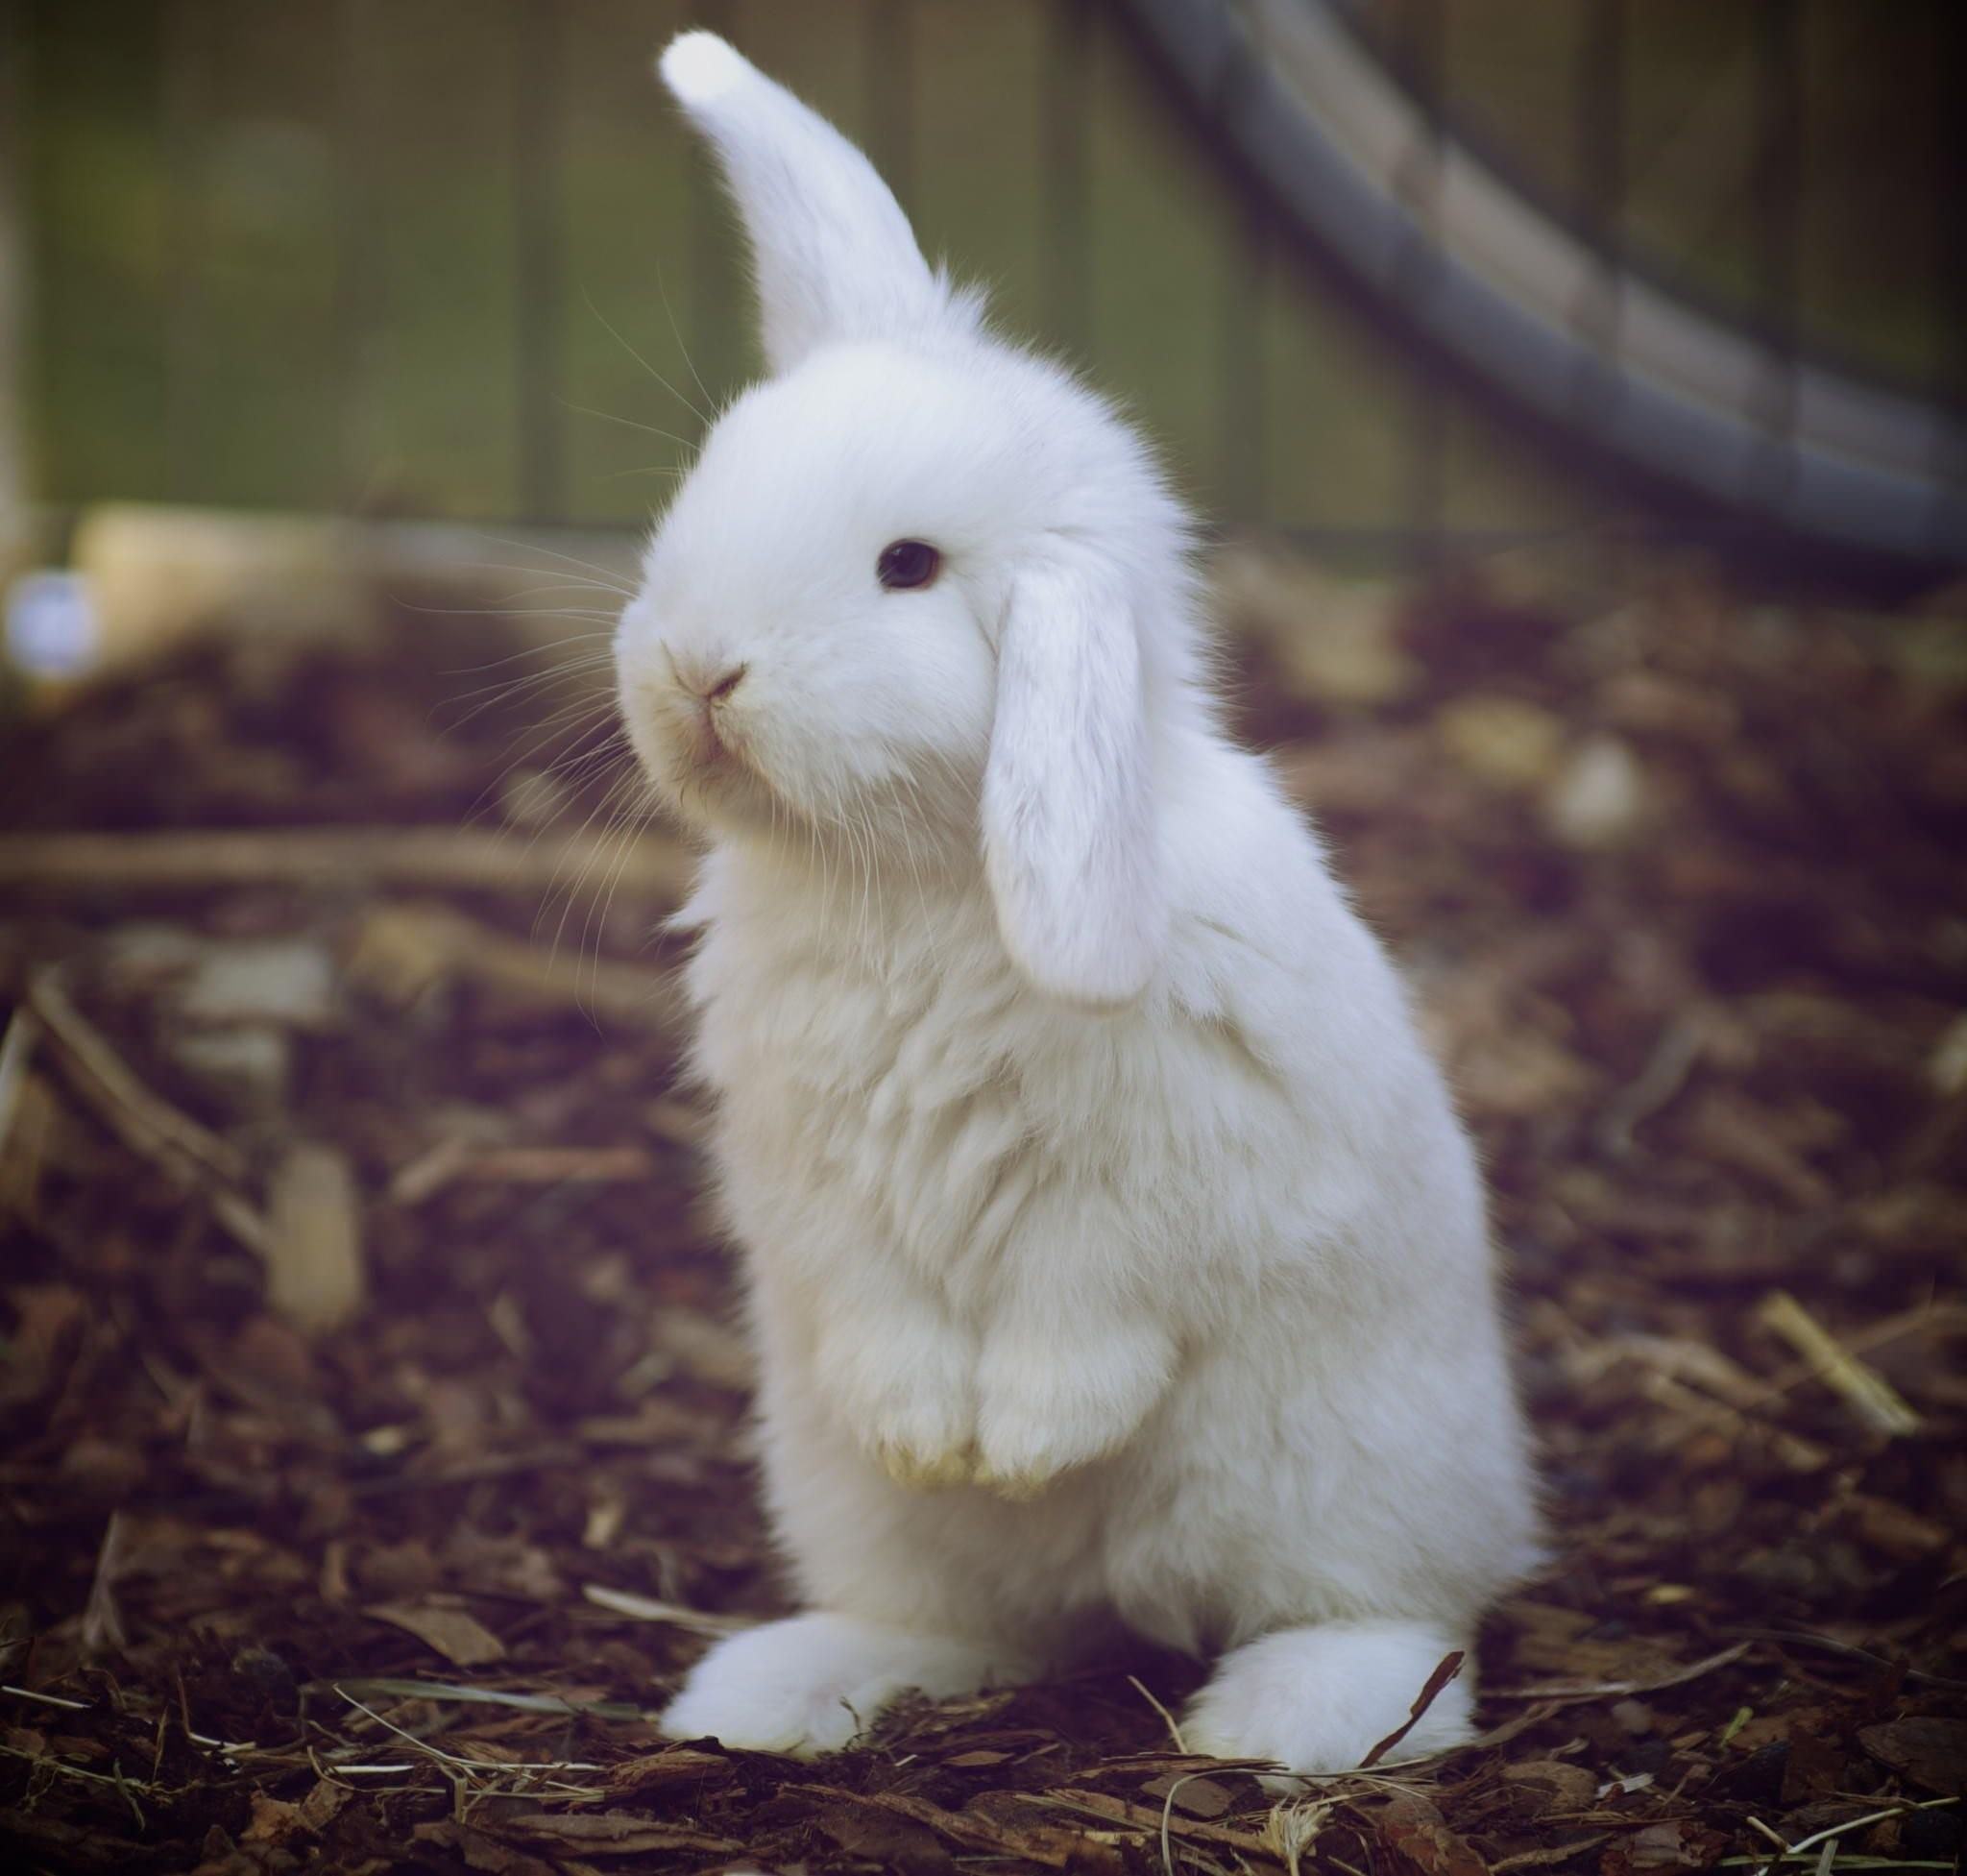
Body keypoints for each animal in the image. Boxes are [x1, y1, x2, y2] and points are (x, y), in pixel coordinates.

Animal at [613, 37, 1534, 1777]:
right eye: (702, 482)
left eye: (908, 566)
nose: (697, 667)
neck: (911, 880)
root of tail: (1128, 1601)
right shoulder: (812, 1183)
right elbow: (882, 1299)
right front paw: (939, 1431)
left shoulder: (1142, 1179)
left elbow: (1085, 1298)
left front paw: (1028, 1437)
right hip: (854, 1506)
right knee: (964, 1622)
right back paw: (777, 1690)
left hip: (1349, 1476)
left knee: (1390, 1617)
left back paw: (1281, 1726)